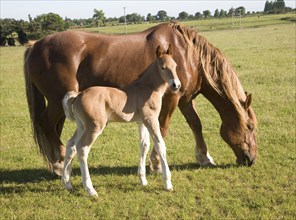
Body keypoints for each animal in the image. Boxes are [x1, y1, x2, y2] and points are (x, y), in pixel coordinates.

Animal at [61, 45, 180, 197]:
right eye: (163, 67)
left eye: (175, 66)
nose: (176, 85)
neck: (147, 88)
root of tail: (78, 95)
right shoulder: (151, 119)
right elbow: (160, 145)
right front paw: (168, 183)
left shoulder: (141, 122)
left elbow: (144, 145)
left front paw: (143, 180)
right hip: (94, 127)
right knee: (82, 148)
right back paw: (90, 189)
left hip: (82, 126)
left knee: (71, 145)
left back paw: (67, 183)